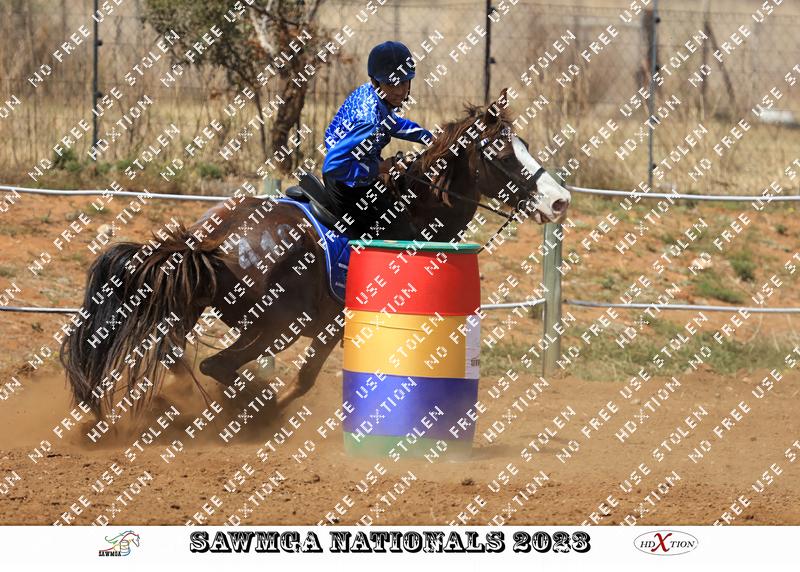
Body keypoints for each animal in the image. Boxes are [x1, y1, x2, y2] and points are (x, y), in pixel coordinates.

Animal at [60, 89, 571, 420]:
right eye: (503, 153)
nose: (559, 200)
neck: (411, 210)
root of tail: (212, 242)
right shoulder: (331, 325)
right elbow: (305, 380)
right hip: (273, 325)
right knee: (213, 365)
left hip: (194, 307)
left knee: (178, 359)